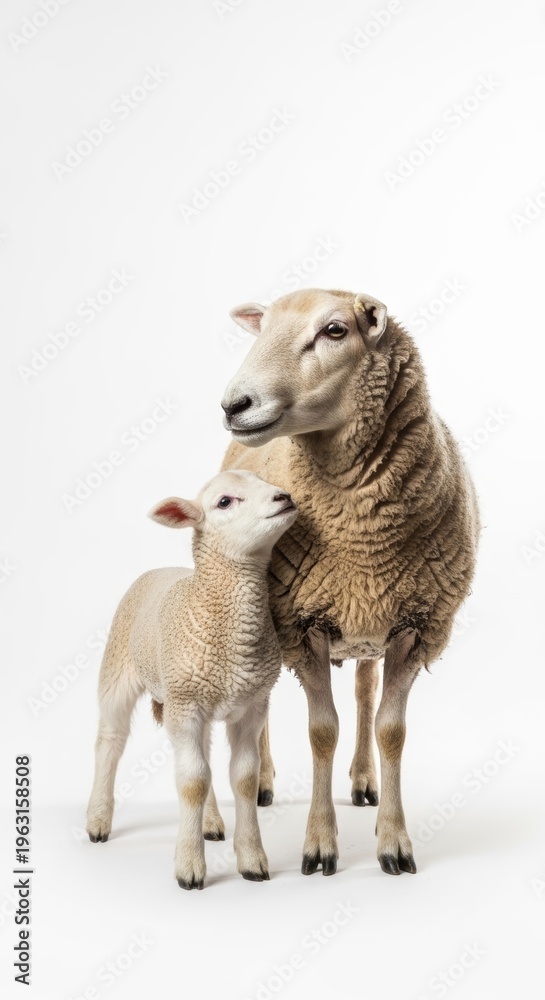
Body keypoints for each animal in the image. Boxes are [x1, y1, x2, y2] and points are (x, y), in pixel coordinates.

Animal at [86, 469, 298, 888]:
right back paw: (98, 820)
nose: (284, 497)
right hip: (120, 670)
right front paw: (189, 868)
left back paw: (211, 822)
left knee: (205, 755)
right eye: (224, 502)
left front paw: (251, 860)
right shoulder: (186, 706)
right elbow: (192, 781)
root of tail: (161, 569)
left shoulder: (252, 706)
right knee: (110, 741)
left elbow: (243, 778)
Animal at [220, 288, 480, 877]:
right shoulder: (301, 623)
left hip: (368, 621)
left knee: (364, 691)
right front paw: (319, 845)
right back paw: (263, 781)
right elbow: (322, 731)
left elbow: (390, 729)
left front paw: (394, 841)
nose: (234, 404)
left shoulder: (416, 624)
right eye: (262, 328)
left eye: (335, 330)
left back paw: (364, 780)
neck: (361, 536)